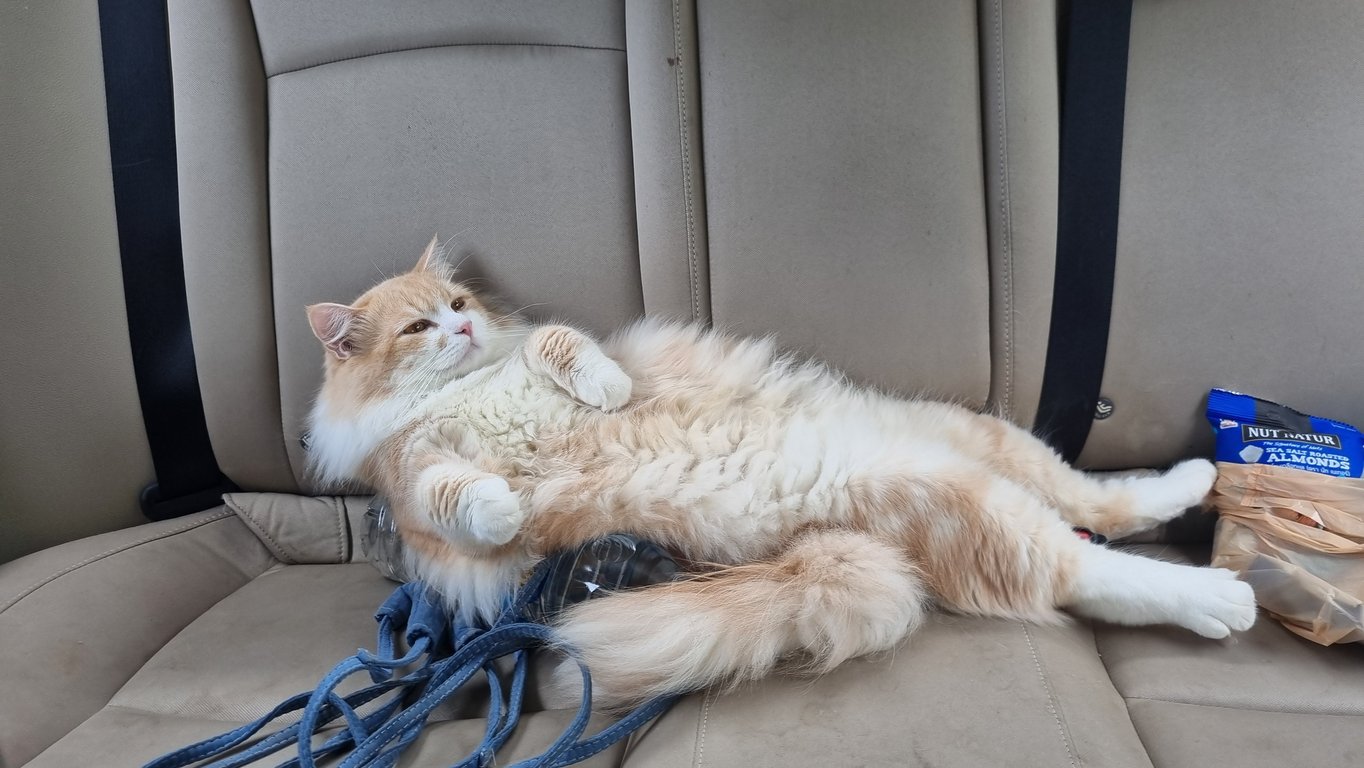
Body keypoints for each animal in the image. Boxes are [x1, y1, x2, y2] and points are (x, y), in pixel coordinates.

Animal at [306, 237, 1258, 707]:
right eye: (417, 328)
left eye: (459, 305)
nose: (463, 330)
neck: (472, 385)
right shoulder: (412, 474)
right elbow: (456, 492)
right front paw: (502, 509)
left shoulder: (552, 346)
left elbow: (564, 349)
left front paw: (602, 389)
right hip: (947, 491)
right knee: (1084, 562)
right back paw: (1219, 591)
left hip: (981, 449)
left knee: (1100, 509)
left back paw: (1202, 492)